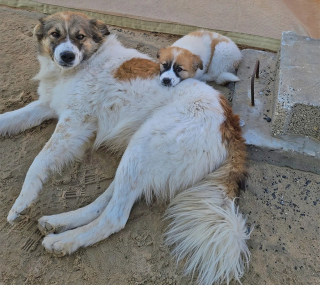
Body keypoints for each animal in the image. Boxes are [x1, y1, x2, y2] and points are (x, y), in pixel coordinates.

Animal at [0, 11, 250, 284]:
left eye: (80, 37)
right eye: (55, 34)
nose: (67, 56)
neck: (85, 63)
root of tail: (230, 120)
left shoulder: (74, 124)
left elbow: (39, 161)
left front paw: (22, 202)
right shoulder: (47, 106)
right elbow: (8, 119)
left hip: (142, 147)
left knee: (114, 218)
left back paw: (63, 241)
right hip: (137, 156)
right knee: (107, 201)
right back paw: (60, 222)